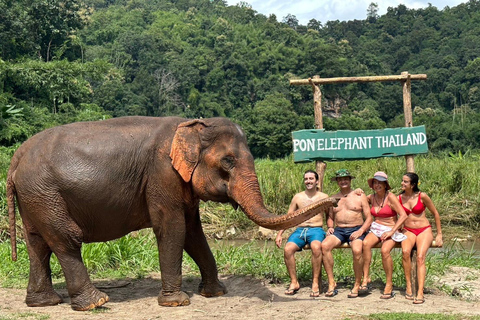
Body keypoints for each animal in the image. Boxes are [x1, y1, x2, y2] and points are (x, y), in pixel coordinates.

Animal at [8, 117, 338, 310]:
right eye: (228, 161)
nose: (335, 201)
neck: (192, 126)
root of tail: (16, 158)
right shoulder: (162, 175)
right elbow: (173, 229)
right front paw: (177, 303)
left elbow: (193, 233)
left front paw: (215, 293)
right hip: (44, 192)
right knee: (66, 240)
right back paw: (96, 302)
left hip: (35, 197)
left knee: (37, 244)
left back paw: (44, 303)